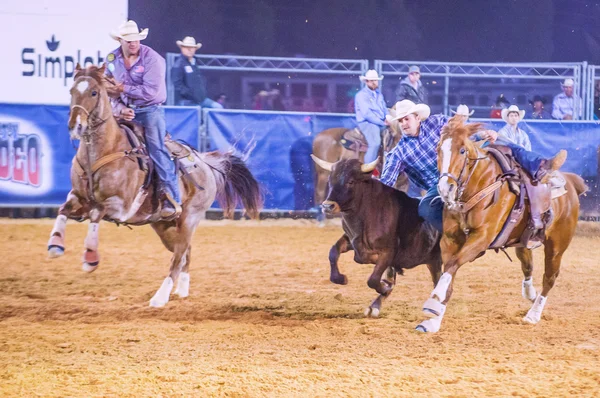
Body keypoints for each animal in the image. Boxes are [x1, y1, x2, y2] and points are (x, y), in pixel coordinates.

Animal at [47, 64, 262, 308]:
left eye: (94, 92)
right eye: (72, 91)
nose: (76, 126)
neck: (104, 152)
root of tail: (205, 162)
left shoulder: (120, 207)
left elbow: (96, 213)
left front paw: (90, 258)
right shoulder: (78, 197)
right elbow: (63, 209)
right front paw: (55, 245)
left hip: (190, 218)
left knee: (178, 257)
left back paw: (160, 297)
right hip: (164, 226)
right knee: (185, 253)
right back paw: (181, 290)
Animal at [414, 117, 588, 332]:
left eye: (462, 150)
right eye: (438, 149)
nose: (446, 188)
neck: (480, 185)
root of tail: (571, 182)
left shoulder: (482, 238)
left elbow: (453, 265)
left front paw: (433, 301)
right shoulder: (450, 239)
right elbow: (449, 270)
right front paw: (433, 319)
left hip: (557, 245)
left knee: (550, 277)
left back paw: (533, 315)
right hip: (523, 241)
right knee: (527, 265)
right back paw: (530, 295)